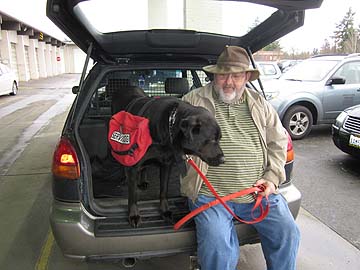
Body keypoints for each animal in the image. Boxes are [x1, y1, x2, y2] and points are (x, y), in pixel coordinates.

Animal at [111, 86, 224, 228]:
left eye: (219, 139)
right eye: (211, 140)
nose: (223, 159)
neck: (170, 124)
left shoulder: (166, 164)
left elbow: (164, 190)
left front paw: (165, 211)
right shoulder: (133, 165)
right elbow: (133, 194)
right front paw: (134, 215)